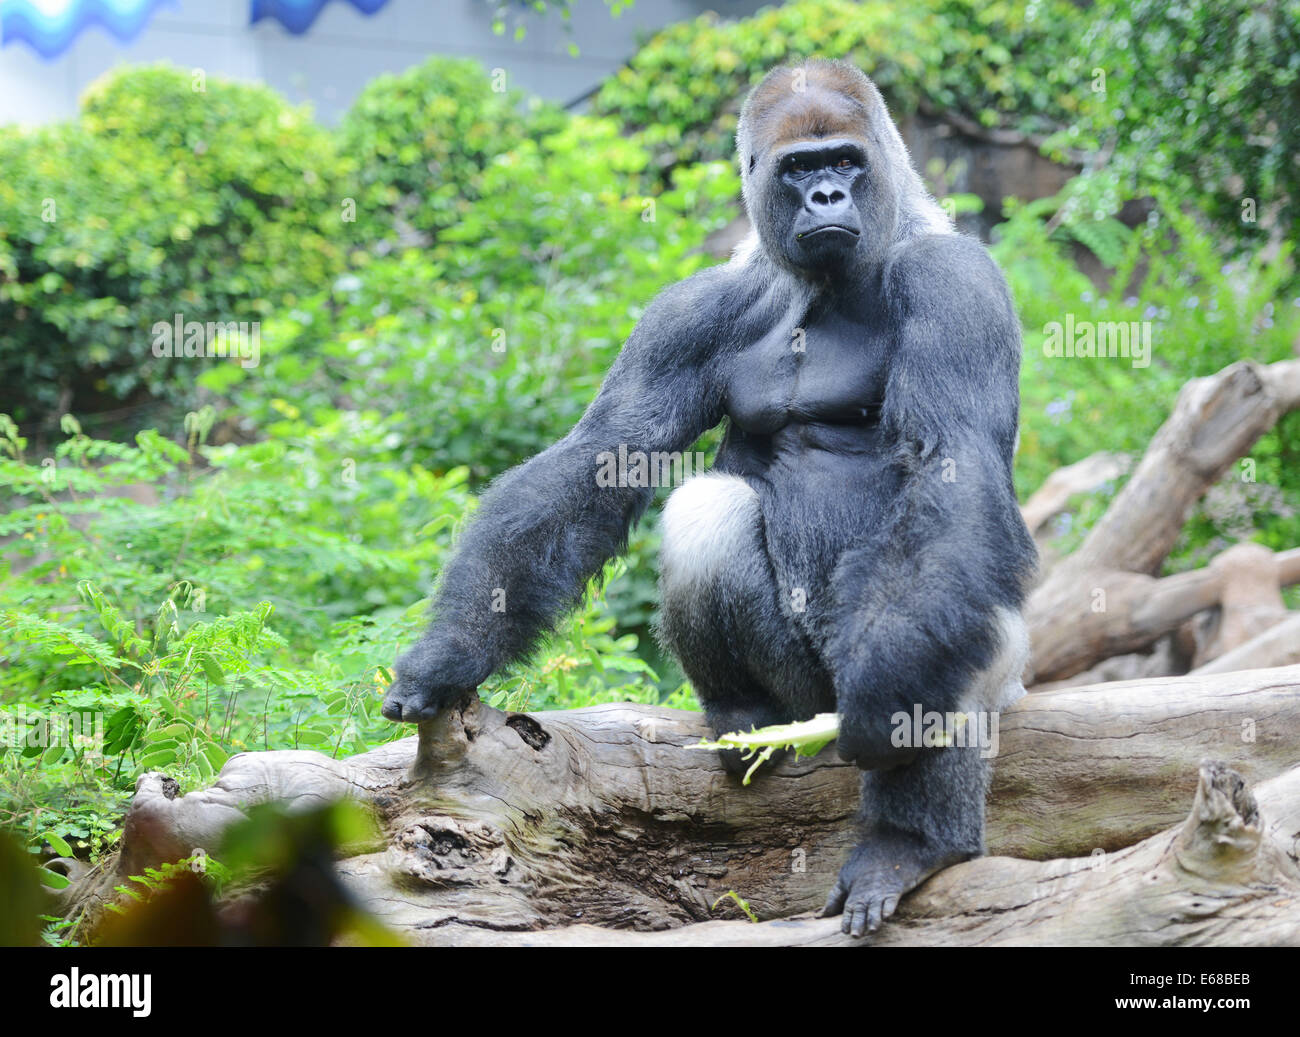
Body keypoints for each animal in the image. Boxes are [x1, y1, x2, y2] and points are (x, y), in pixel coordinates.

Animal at [379, 61, 1040, 935]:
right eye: (798, 168)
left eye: (846, 159)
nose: (828, 195)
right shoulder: (688, 310)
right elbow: (603, 453)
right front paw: (450, 652)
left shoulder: (955, 280)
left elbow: (950, 465)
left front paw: (892, 699)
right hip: (804, 693)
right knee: (708, 510)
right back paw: (745, 713)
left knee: (965, 613)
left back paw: (912, 841)